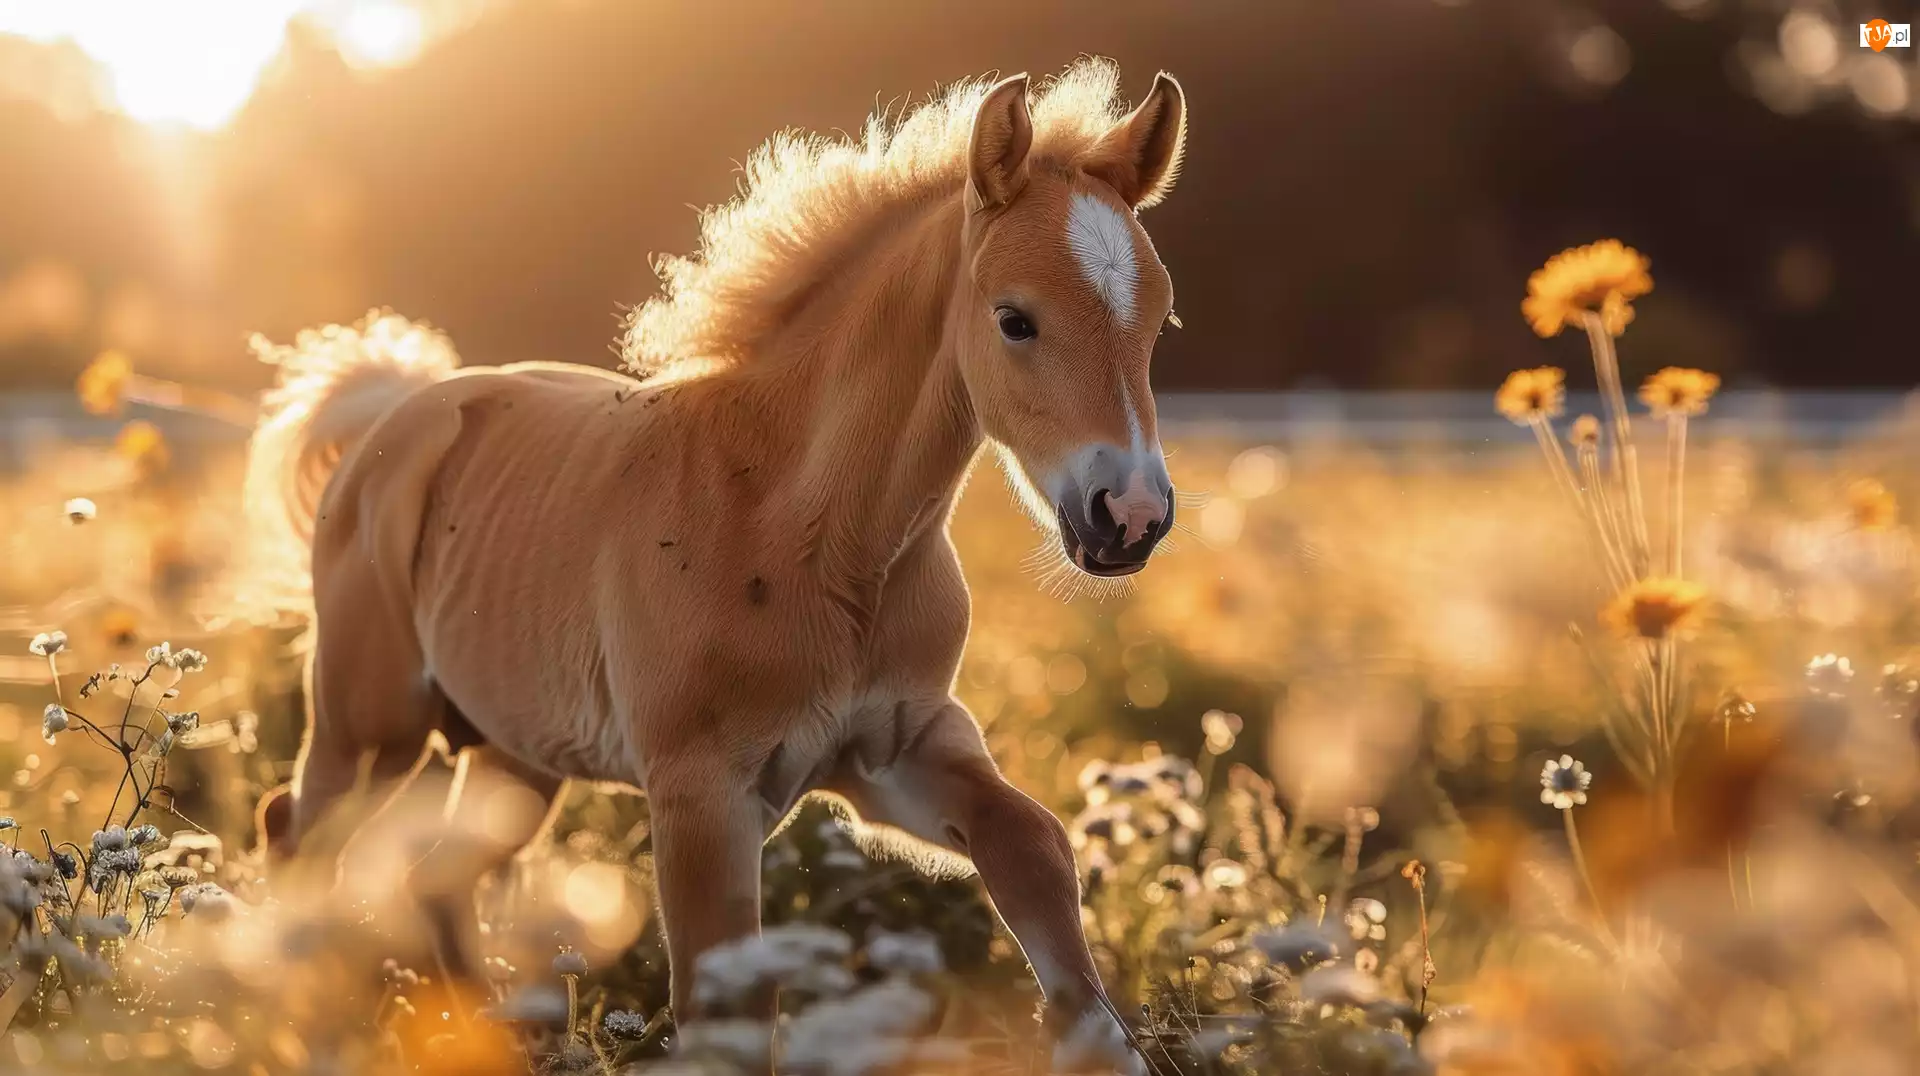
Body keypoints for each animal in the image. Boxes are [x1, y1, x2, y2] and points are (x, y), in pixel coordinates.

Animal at [243, 62, 1182, 1068]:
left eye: (1159, 322)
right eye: (1015, 319)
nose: (1130, 517)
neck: (811, 537)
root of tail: (396, 412)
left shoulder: (896, 750)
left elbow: (1034, 847)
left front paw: (1104, 1045)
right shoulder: (700, 796)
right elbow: (724, 1003)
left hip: (516, 755)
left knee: (433, 877)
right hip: (368, 727)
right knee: (298, 836)